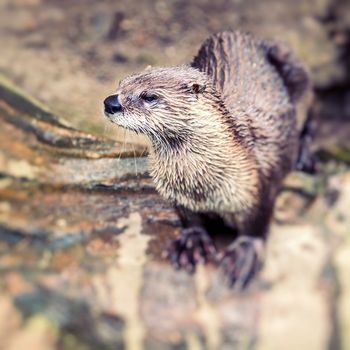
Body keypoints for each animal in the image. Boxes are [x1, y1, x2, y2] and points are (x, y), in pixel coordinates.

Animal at [102, 30, 314, 288]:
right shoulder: (175, 192)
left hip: (295, 71)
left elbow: (257, 223)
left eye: (149, 96)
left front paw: (244, 252)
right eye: (121, 83)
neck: (201, 186)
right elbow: (188, 218)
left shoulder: (258, 184)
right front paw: (191, 242)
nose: (110, 102)